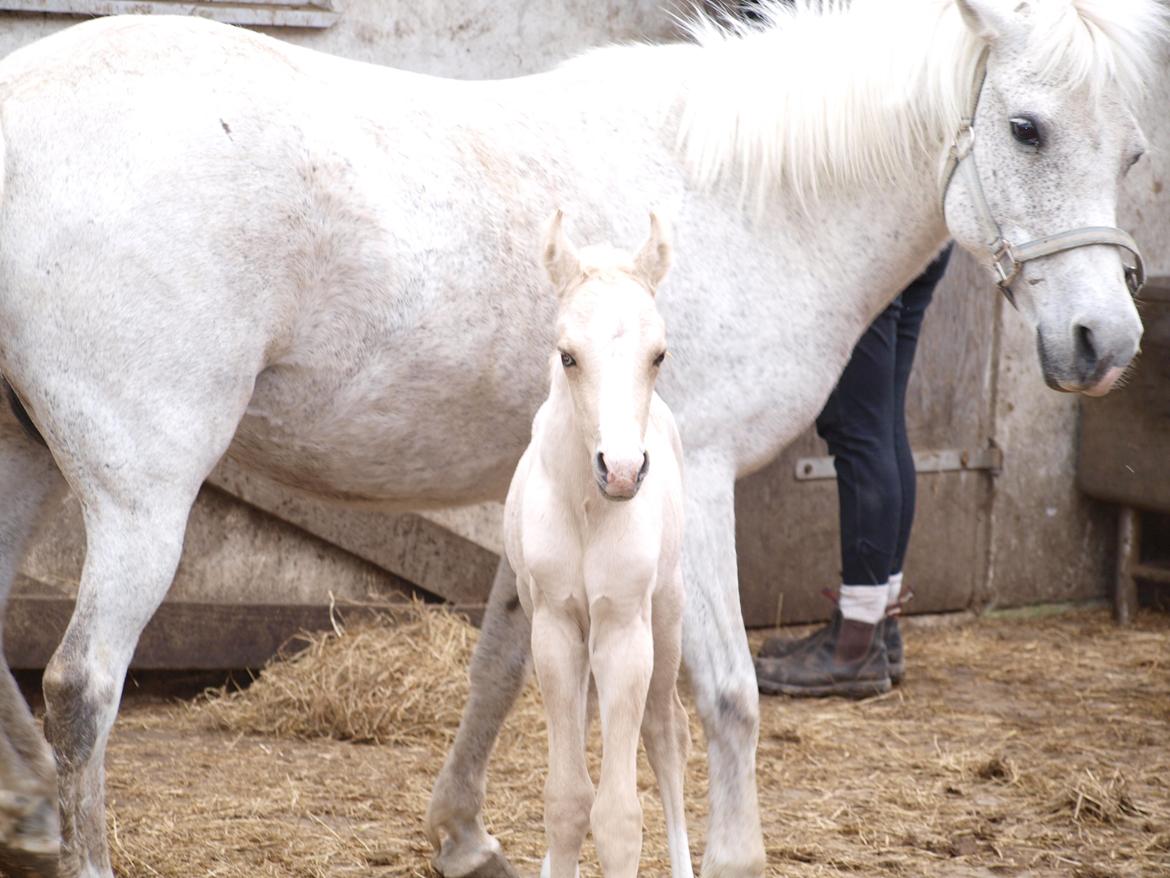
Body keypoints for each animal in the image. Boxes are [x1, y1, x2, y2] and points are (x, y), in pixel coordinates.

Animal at [507, 215, 687, 878]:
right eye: (568, 356)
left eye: (658, 355)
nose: (624, 472)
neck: (588, 509)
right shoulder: (555, 626)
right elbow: (566, 800)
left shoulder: (624, 628)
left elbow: (618, 815)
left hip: (667, 616)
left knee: (667, 732)